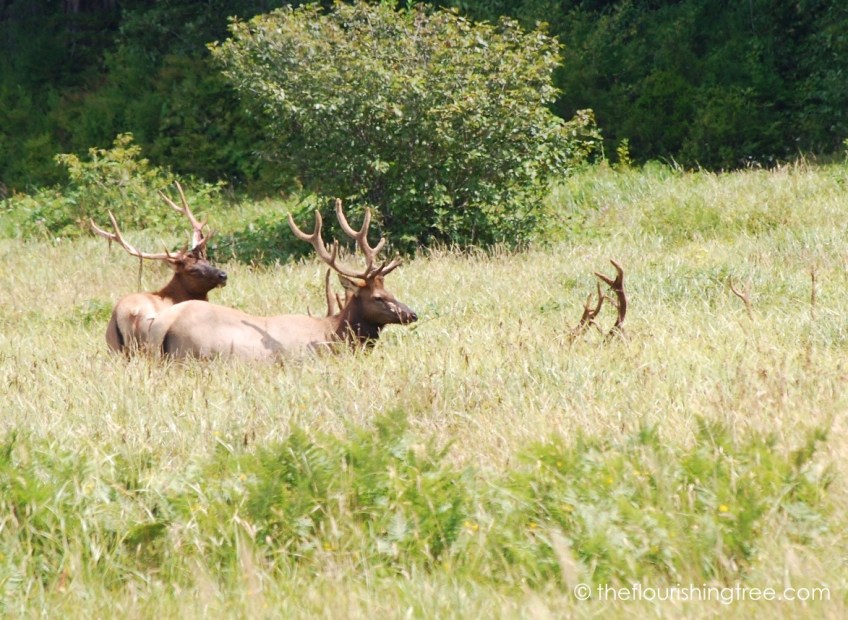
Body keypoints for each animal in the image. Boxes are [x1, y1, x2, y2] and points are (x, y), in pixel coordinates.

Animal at [91, 182, 228, 353]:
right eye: (192, 271)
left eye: (207, 261)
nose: (223, 275)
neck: (174, 296)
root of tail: (126, 313)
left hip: (114, 347)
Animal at [148, 199, 418, 360]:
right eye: (378, 297)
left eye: (392, 292)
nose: (412, 314)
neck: (335, 335)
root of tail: (163, 324)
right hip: (194, 354)